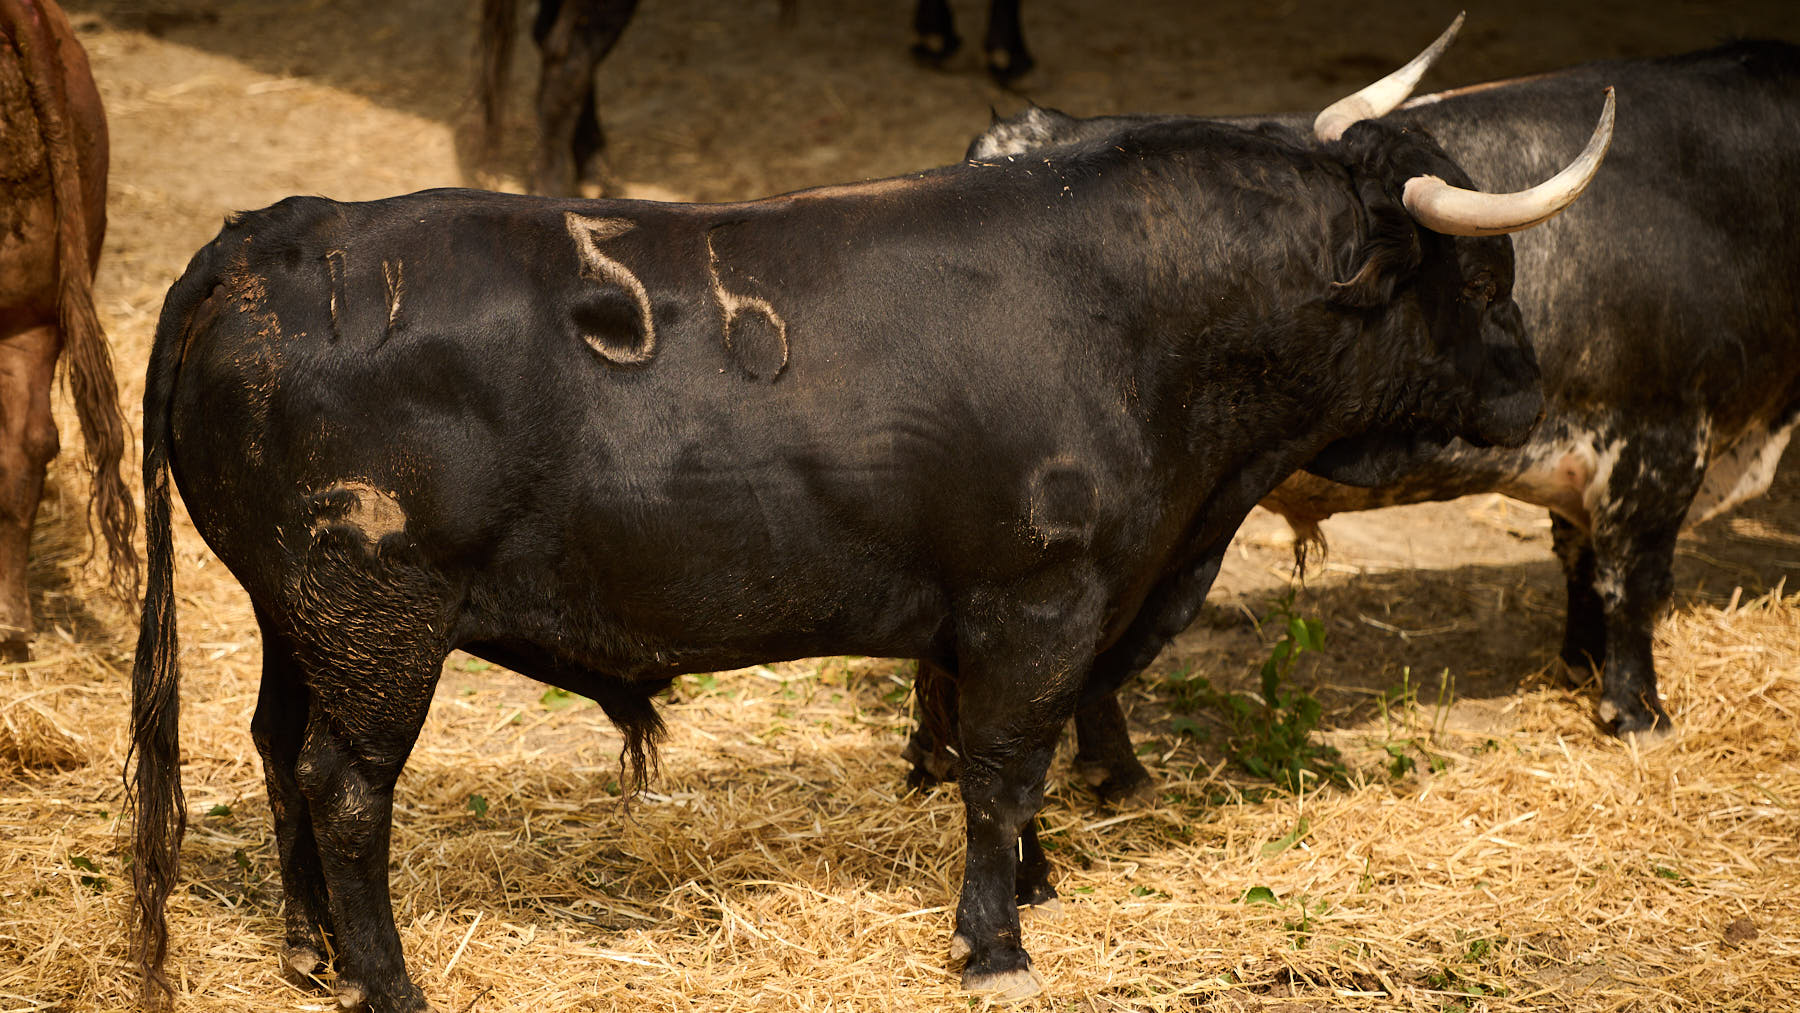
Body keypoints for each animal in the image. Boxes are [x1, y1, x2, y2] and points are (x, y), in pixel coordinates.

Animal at [133, 61, 1612, 1007]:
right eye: (1483, 270)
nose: (1530, 383)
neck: (1136, 314)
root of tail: (277, 239)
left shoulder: (977, 614)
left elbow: (983, 756)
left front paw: (1037, 885)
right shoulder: (1042, 600)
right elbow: (1005, 763)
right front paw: (997, 943)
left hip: (297, 617)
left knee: (278, 751)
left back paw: (311, 953)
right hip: (378, 619)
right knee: (347, 786)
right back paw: (385, 980)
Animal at [907, 37, 1800, 802]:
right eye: (1482, 284)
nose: (1531, 392)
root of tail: (1024, 135)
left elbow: (1580, 563)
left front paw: (1578, 668)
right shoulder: (1658, 446)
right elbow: (1633, 585)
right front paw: (1638, 713)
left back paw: (938, 762)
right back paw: (1106, 772)